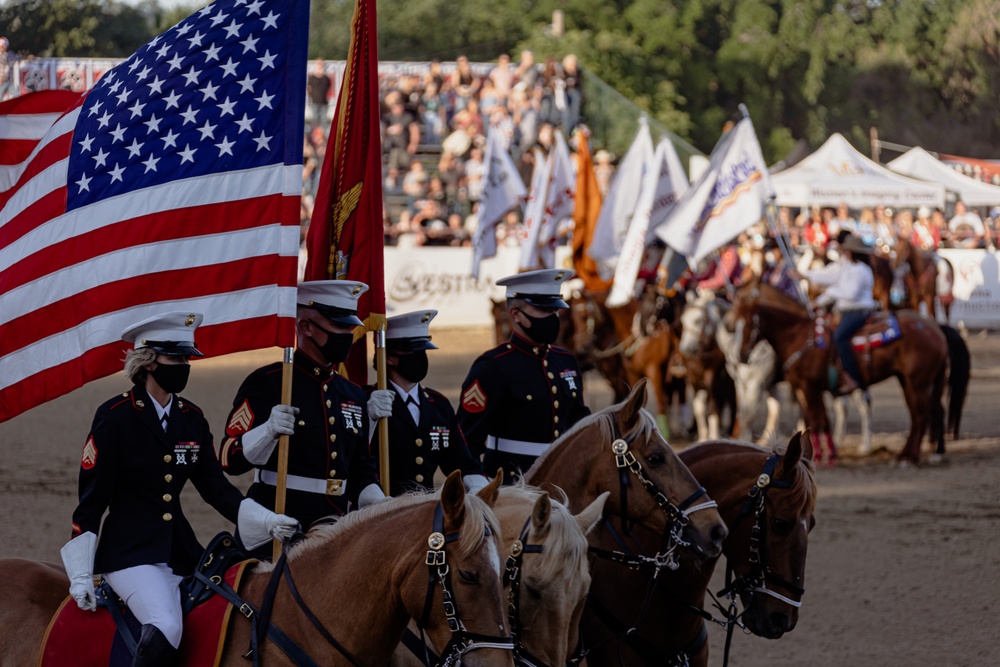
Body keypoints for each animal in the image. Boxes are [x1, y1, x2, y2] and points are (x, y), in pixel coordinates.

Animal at [736, 282, 968, 464]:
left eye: (749, 324)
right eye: (735, 323)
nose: (741, 356)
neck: (799, 336)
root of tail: (934, 329)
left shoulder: (810, 387)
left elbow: (818, 421)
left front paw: (822, 456)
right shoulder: (804, 388)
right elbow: (817, 420)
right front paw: (825, 454)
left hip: (918, 383)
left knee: (922, 415)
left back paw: (911, 457)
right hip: (912, 382)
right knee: (924, 415)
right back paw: (910, 454)